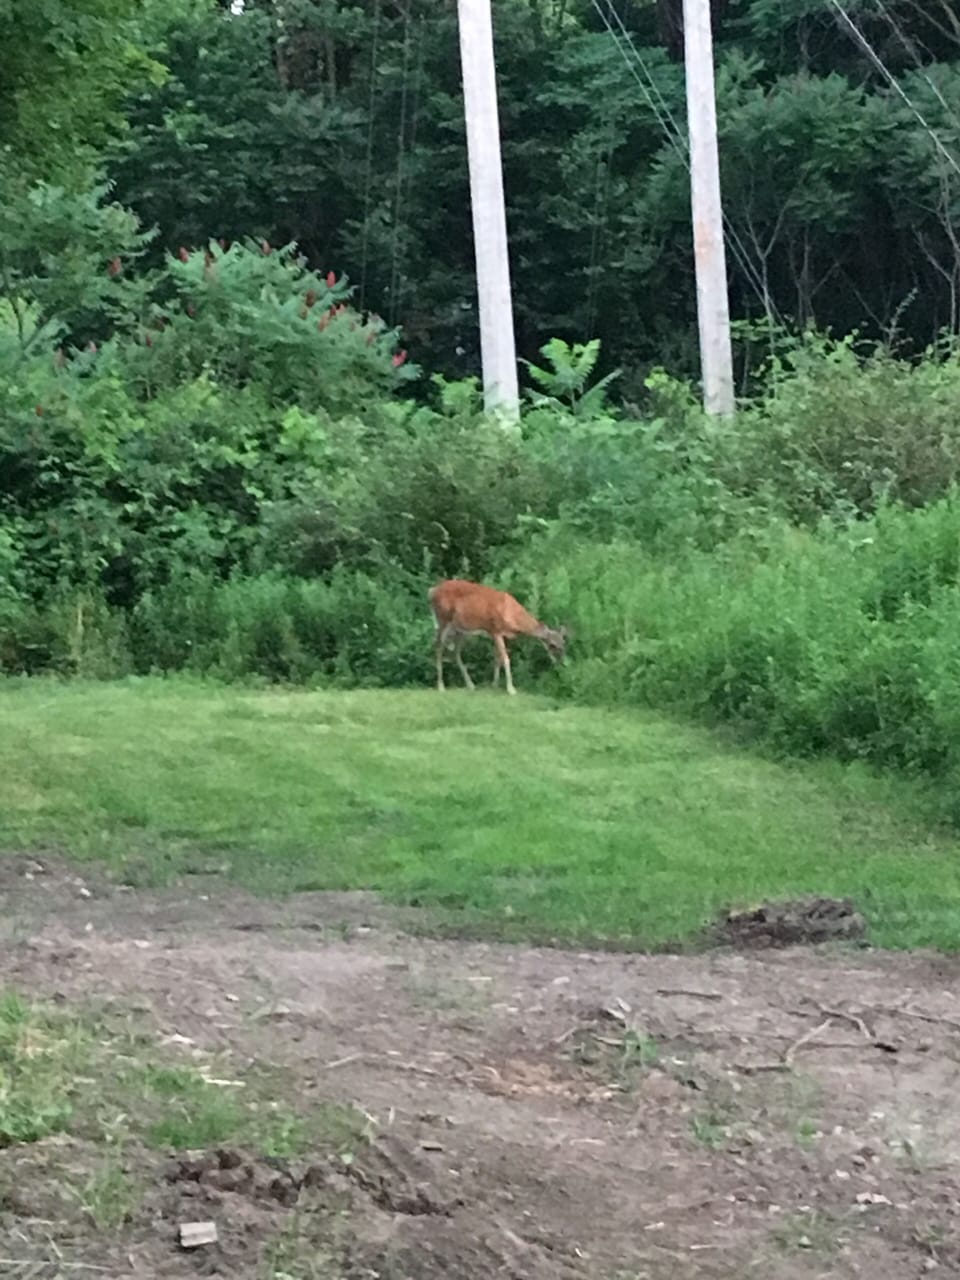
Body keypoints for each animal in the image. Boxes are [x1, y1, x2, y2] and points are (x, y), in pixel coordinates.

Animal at [429, 579, 568, 696]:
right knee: (438, 646)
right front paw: (511, 689)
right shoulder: (495, 630)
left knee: (455, 652)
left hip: (460, 630)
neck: (512, 614)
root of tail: (432, 591)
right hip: (443, 620)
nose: (561, 663)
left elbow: (498, 658)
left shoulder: (501, 634)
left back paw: (470, 685)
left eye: (563, 643)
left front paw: (494, 684)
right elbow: (505, 659)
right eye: (552, 645)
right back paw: (441, 686)